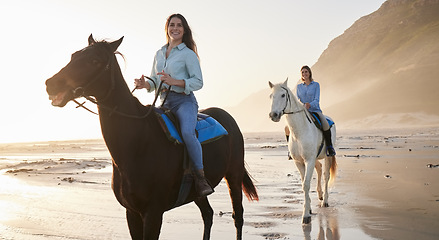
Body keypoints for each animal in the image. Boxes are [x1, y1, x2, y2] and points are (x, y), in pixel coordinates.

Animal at [45, 34, 258, 240]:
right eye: (73, 56)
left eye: (94, 60)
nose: (51, 84)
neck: (137, 143)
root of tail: (227, 118)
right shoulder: (132, 212)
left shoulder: (153, 213)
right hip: (198, 193)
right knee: (208, 214)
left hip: (233, 175)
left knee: (237, 216)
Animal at [268, 79, 336, 225]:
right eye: (271, 96)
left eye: (283, 95)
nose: (273, 115)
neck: (299, 131)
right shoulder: (299, 162)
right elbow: (304, 183)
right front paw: (308, 209)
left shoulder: (309, 160)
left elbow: (306, 184)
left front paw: (306, 215)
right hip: (315, 159)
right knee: (319, 168)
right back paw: (320, 195)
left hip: (328, 156)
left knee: (326, 175)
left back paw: (325, 201)